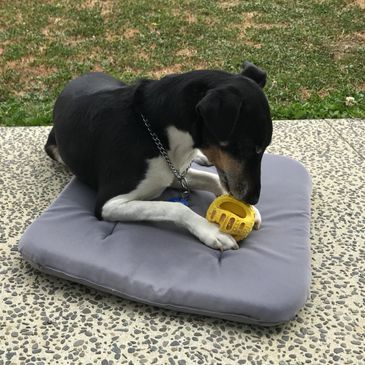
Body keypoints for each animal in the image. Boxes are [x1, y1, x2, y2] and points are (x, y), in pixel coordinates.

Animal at [45, 61, 272, 250]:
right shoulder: (108, 204)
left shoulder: (173, 173)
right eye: (247, 147)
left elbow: (213, 178)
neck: (159, 132)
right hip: (53, 148)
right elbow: (174, 208)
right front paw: (211, 230)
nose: (253, 199)